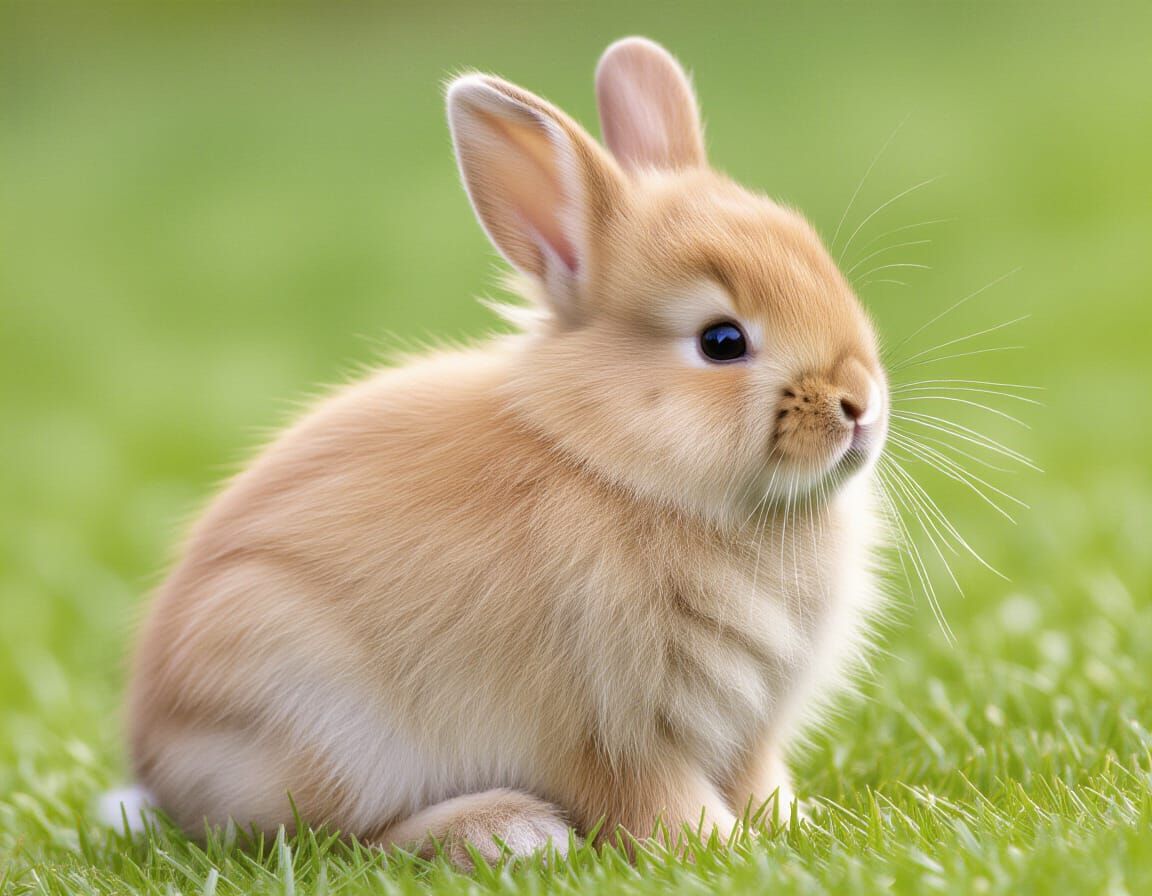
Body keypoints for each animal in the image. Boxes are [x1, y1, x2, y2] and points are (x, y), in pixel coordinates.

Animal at [123, 36, 889, 868]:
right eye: (721, 341)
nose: (860, 405)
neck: (613, 463)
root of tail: (159, 767)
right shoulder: (610, 732)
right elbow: (656, 801)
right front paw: (720, 848)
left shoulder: (749, 729)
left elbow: (758, 780)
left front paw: (792, 828)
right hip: (322, 724)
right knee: (343, 838)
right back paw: (508, 831)